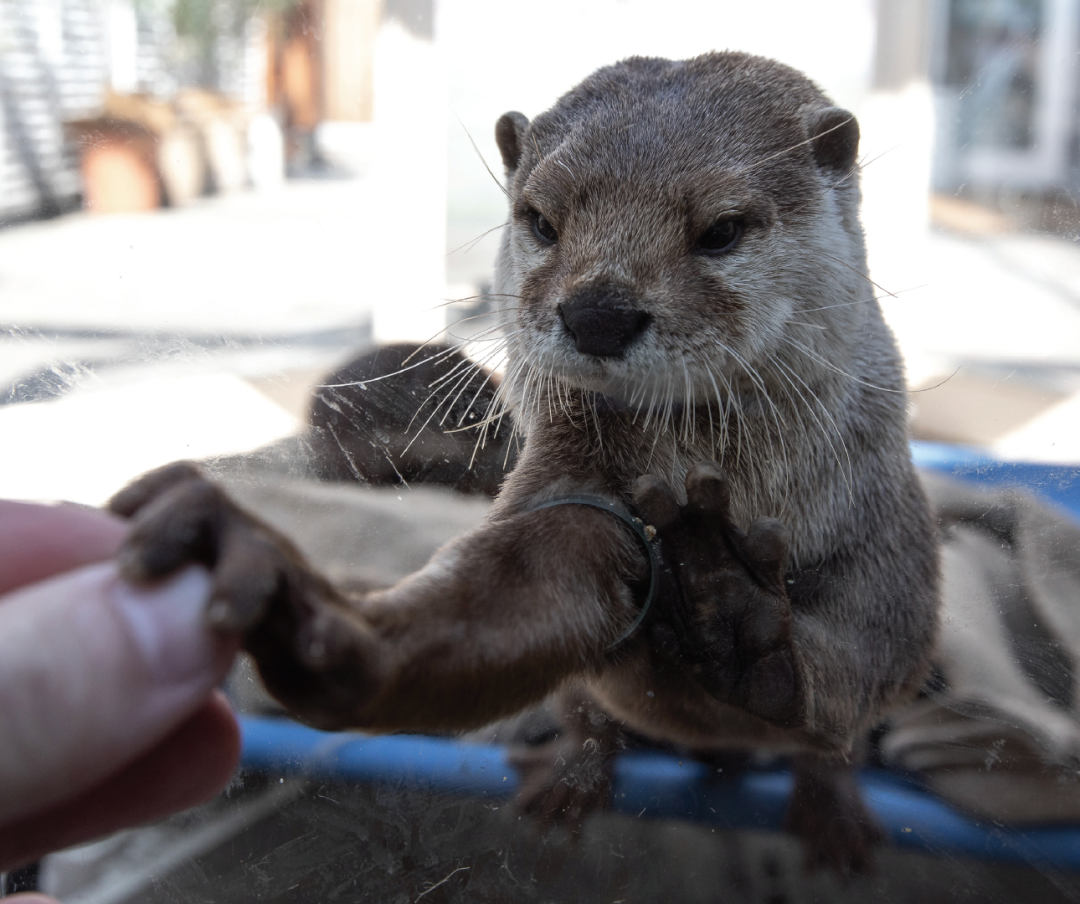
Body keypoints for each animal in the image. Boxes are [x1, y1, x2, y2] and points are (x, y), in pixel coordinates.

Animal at [109, 52, 937, 872]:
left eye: (723, 230)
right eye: (541, 221)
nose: (598, 311)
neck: (727, 477)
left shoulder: (884, 534)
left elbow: (867, 663)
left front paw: (730, 616)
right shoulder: (568, 480)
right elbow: (513, 591)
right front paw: (309, 617)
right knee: (582, 702)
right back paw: (575, 768)